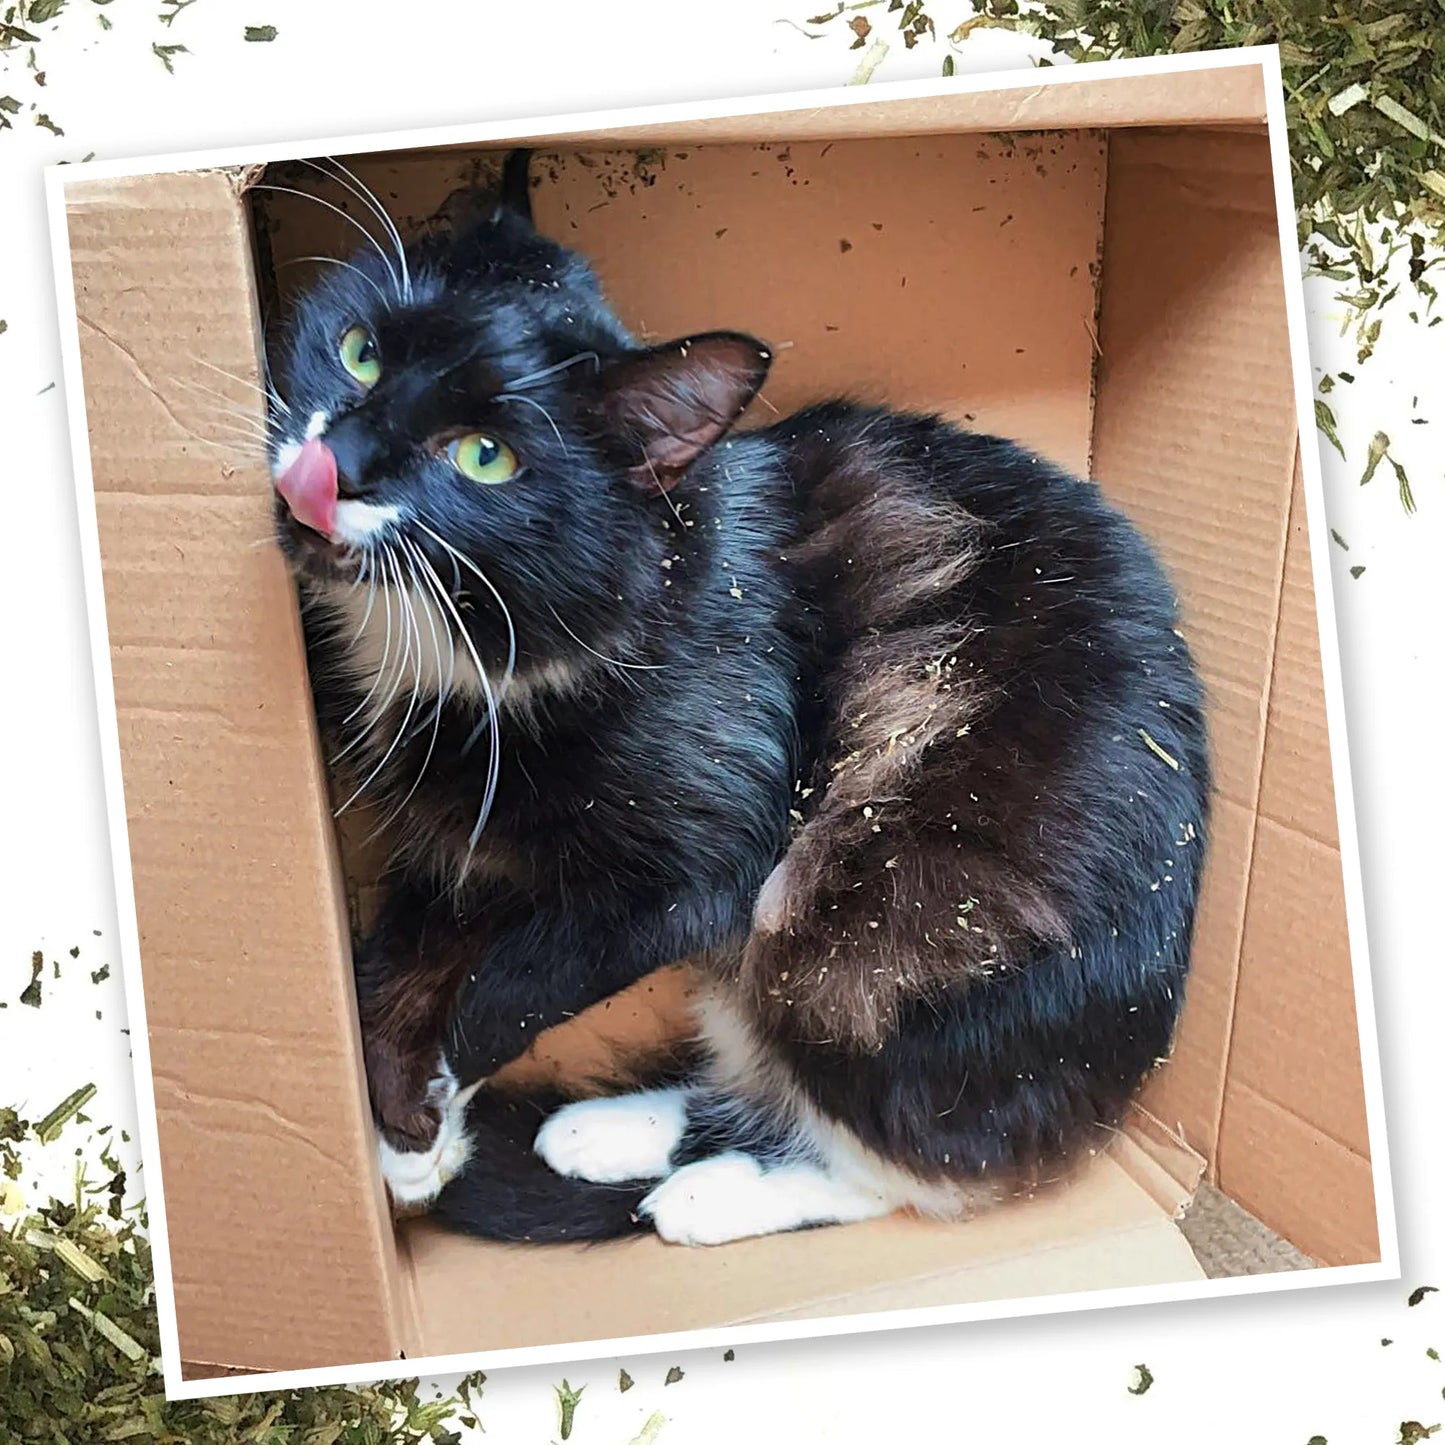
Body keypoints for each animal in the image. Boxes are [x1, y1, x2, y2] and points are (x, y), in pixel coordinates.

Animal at [262, 152, 1208, 1248]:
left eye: (483, 456)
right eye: (360, 353)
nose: (333, 468)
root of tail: (1114, 1093)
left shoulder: (705, 863)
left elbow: (520, 977)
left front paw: (443, 1107)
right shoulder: (467, 836)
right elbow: (398, 955)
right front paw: (406, 1131)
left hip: (845, 927)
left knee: (903, 1163)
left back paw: (695, 1194)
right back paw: (594, 1135)